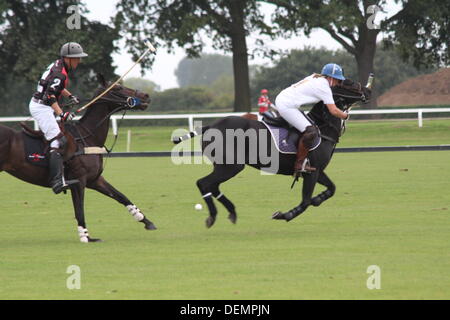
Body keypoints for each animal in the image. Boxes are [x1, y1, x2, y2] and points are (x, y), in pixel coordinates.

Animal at [0, 75, 157, 242]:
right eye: (118, 88)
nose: (146, 96)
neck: (88, 136)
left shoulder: (95, 179)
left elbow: (121, 196)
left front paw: (146, 221)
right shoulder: (79, 181)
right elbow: (79, 209)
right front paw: (86, 237)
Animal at [172, 79, 370, 228]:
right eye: (349, 83)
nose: (368, 91)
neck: (323, 128)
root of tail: (211, 125)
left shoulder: (317, 170)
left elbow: (331, 189)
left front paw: (318, 199)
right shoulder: (310, 172)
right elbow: (305, 201)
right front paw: (285, 214)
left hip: (224, 165)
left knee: (212, 186)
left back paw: (231, 212)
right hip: (231, 165)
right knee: (204, 183)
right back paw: (213, 216)